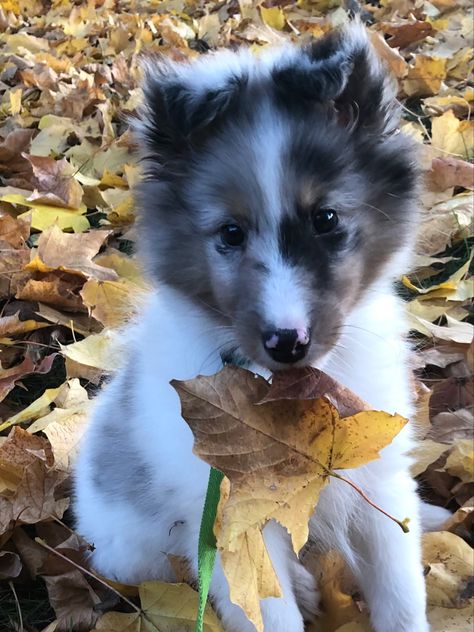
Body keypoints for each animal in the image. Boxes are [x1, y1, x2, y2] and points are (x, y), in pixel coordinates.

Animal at [73, 19, 444, 632]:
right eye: (229, 233)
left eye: (326, 219)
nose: (287, 343)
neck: (294, 394)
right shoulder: (229, 523)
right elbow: (267, 610)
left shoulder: (380, 487)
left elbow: (401, 596)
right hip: (139, 547)